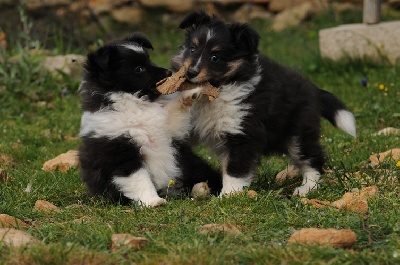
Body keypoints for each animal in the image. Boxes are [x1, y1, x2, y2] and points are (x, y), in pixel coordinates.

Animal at [78, 33, 222, 206]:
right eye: (138, 69)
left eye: (149, 60)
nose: (168, 73)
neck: (137, 104)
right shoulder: (121, 152)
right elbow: (139, 179)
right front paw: (154, 201)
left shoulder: (168, 131)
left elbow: (175, 112)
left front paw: (190, 93)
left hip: (190, 163)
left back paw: (202, 188)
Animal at [172, 11, 356, 195]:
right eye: (192, 48)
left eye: (215, 57)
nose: (191, 72)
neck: (215, 92)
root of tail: (312, 88)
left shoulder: (243, 133)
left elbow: (235, 169)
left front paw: (229, 195)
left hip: (299, 133)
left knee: (312, 158)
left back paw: (307, 187)